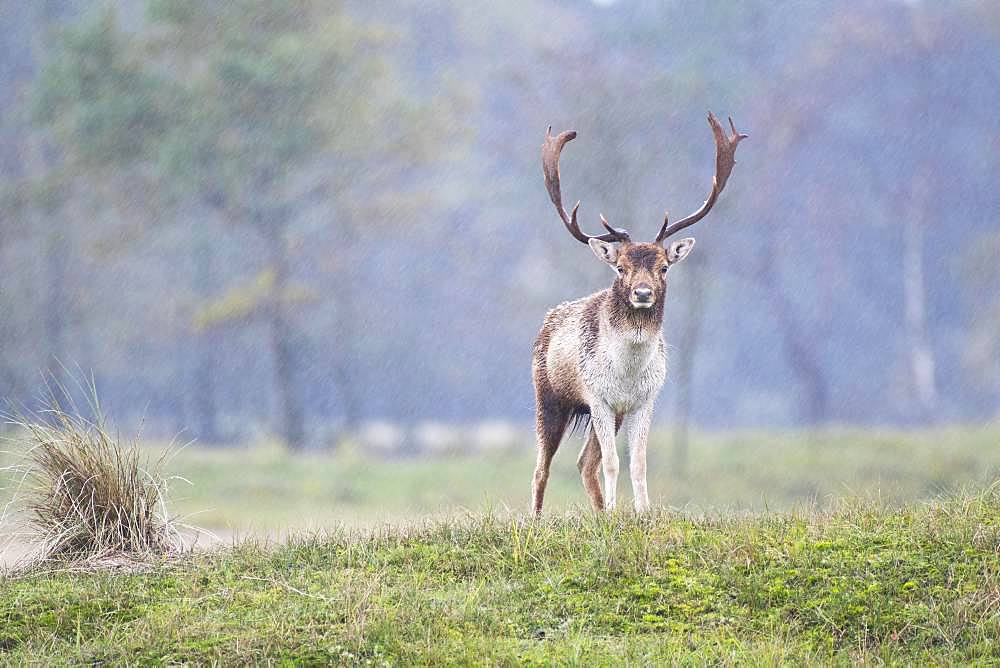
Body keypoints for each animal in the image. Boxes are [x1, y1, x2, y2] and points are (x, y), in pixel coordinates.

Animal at [532, 112, 744, 516]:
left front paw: (642, 513)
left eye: (664, 267)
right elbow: (614, 461)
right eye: (621, 268)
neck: (627, 373)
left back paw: (599, 514)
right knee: (542, 468)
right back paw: (538, 521)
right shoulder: (598, 396)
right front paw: (618, 512)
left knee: (584, 462)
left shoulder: (645, 400)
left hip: (610, 414)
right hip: (548, 397)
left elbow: (639, 461)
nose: (642, 293)